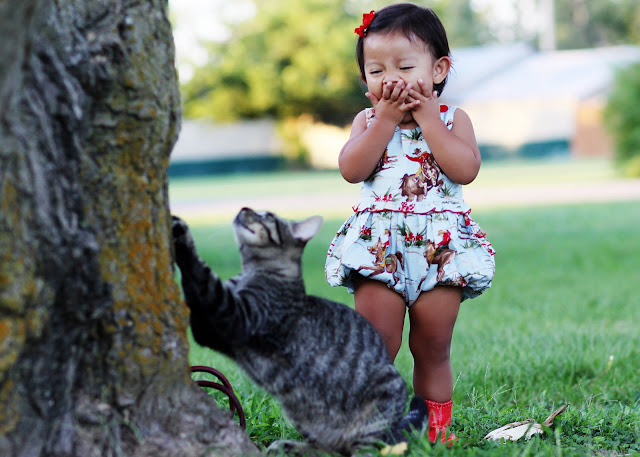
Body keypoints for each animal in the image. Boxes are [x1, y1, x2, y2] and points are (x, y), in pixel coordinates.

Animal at [171, 208, 427, 456]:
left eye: (267, 216)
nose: (243, 208)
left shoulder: (231, 314)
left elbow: (202, 275)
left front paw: (181, 233)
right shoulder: (210, 330)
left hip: (380, 402)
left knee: (369, 449)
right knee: (330, 448)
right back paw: (290, 447)